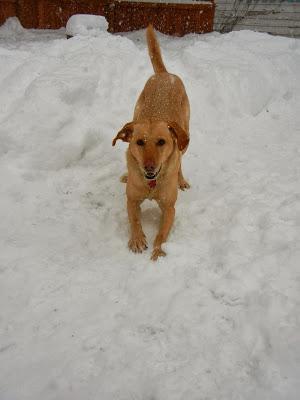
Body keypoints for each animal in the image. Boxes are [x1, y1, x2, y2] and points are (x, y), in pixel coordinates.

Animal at [112, 25, 190, 262]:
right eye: (139, 142)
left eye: (161, 142)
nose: (148, 167)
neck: (151, 185)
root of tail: (164, 74)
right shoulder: (131, 200)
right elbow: (134, 219)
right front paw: (137, 239)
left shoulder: (170, 208)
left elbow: (162, 234)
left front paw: (157, 252)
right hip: (136, 109)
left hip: (186, 134)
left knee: (181, 158)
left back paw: (182, 180)